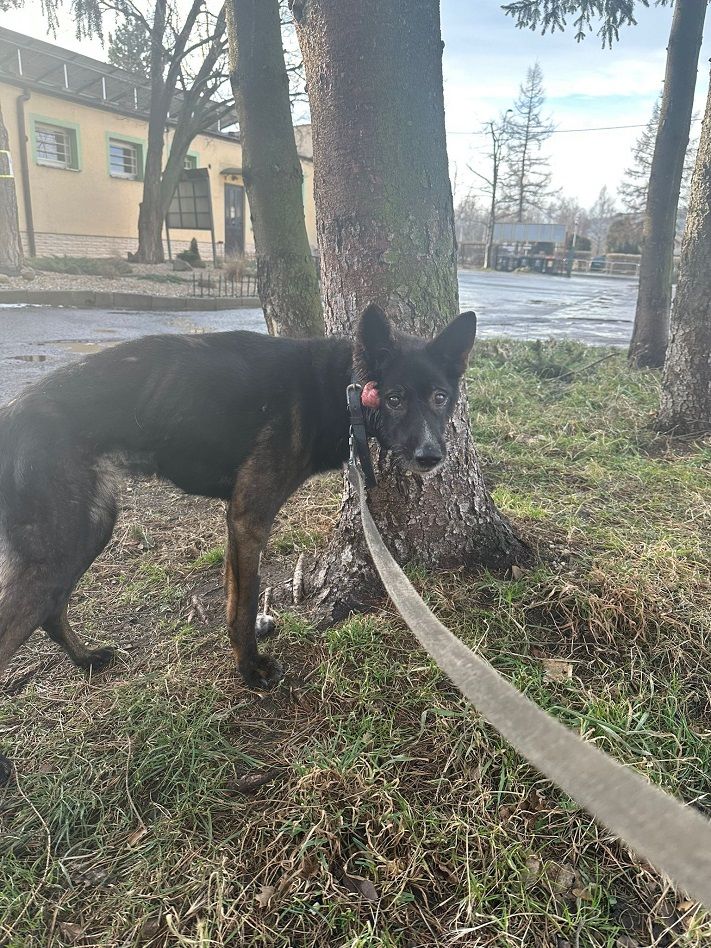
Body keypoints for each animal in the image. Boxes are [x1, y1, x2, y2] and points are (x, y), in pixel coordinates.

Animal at [1, 304, 478, 776]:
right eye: (395, 397)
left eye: (439, 397)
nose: (432, 456)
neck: (341, 388)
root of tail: (11, 415)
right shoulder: (249, 516)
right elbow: (245, 603)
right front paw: (251, 670)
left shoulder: (237, 519)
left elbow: (235, 600)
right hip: (66, 542)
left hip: (88, 531)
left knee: (53, 609)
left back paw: (85, 659)